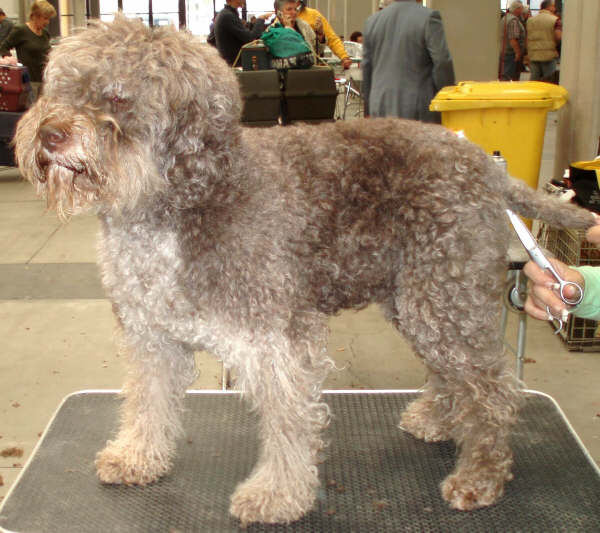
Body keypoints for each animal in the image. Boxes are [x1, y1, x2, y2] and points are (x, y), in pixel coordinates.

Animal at [14, 15, 596, 524]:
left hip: (444, 296)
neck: (181, 202)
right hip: (416, 300)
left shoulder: (275, 339)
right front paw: (138, 457)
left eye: (117, 95)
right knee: (456, 374)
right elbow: (148, 401)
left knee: (492, 387)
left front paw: (278, 496)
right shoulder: (152, 335)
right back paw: (436, 418)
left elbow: (288, 423)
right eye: (59, 88)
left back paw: (481, 476)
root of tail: (482, 164)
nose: (49, 135)